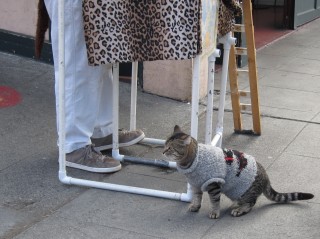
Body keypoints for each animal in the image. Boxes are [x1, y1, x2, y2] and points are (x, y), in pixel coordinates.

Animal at [164, 125, 314, 218]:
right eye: (165, 144)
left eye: (170, 148)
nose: (163, 151)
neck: (192, 162)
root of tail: (267, 177)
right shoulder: (195, 184)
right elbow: (197, 197)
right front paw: (195, 206)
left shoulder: (214, 184)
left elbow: (214, 201)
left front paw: (214, 212)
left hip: (244, 191)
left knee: (251, 203)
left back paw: (240, 209)